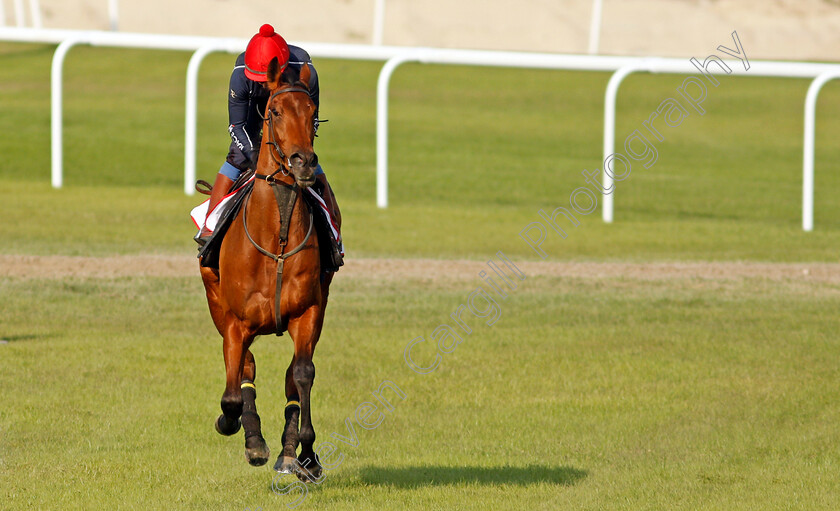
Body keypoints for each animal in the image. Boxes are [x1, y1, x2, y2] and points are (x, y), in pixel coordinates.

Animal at [199, 58, 332, 482]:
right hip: (216, 303)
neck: (277, 239)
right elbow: (232, 391)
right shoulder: (235, 322)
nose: (303, 162)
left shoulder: (309, 312)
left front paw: (304, 452)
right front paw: (239, 429)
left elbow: (302, 373)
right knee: (245, 368)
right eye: (273, 112)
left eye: (312, 113)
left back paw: (288, 452)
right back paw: (252, 436)